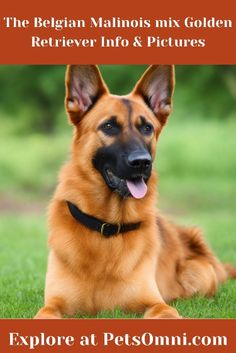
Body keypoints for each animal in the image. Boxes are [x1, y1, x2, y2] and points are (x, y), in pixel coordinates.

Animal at [35, 64, 236, 318]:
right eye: (109, 126)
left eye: (147, 128)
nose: (142, 162)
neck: (108, 229)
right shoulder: (51, 306)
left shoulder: (156, 304)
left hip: (199, 276)